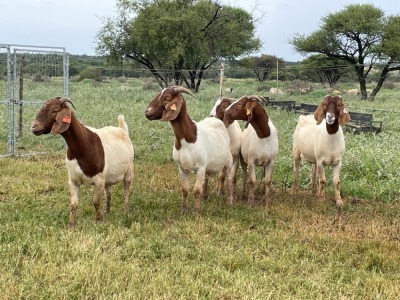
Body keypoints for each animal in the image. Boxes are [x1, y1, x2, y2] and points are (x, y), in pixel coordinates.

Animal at [30, 97, 134, 226]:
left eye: (54, 111)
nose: (34, 127)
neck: (82, 147)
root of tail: (122, 129)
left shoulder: (99, 180)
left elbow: (96, 202)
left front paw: (98, 220)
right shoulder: (73, 180)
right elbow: (73, 204)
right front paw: (71, 224)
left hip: (129, 169)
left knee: (126, 191)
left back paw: (126, 211)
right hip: (108, 177)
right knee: (108, 192)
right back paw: (107, 211)